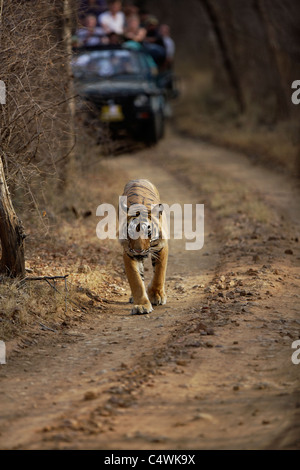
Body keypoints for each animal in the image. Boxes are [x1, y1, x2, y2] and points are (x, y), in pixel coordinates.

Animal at [118, 180, 168, 316]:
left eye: (148, 232)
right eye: (130, 232)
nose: (138, 250)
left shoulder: (161, 246)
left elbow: (159, 273)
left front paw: (157, 295)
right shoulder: (128, 253)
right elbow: (136, 280)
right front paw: (141, 305)